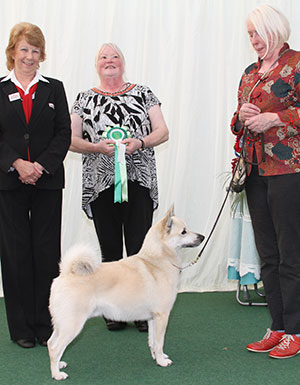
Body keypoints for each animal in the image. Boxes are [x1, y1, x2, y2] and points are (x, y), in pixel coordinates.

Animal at [47, 206, 204, 380]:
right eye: (183, 231)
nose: (202, 237)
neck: (157, 261)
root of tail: (66, 273)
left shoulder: (152, 318)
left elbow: (152, 342)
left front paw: (157, 357)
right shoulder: (162, 316)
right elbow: (159, 341)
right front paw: (162, 362)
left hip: (62, 323)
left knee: (50, 343)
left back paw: (59, 364)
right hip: (72, 324)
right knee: (55, 348)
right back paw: (57, 374)